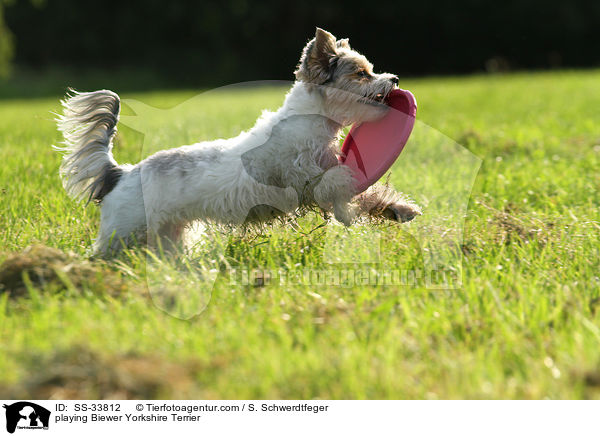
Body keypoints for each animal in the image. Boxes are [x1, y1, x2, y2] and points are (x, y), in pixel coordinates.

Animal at [56, 28, 422, 255]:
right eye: (361, 73)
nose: (395, 79)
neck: (310, 122)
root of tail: (121, 173)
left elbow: (366, 196)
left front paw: (399, 209)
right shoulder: (306, 181)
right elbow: (339, 188)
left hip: (168, 235)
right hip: (124, 233)